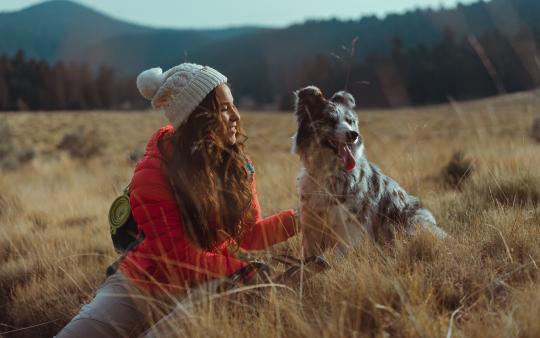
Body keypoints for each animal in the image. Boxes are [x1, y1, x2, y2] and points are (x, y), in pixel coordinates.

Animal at [292, 86, 448, 256]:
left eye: (350, 121)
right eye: (330, 120)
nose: (353, 134)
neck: (329, 171)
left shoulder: (347, 225)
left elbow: (341, 253)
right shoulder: (312, 223)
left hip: (413, 220)